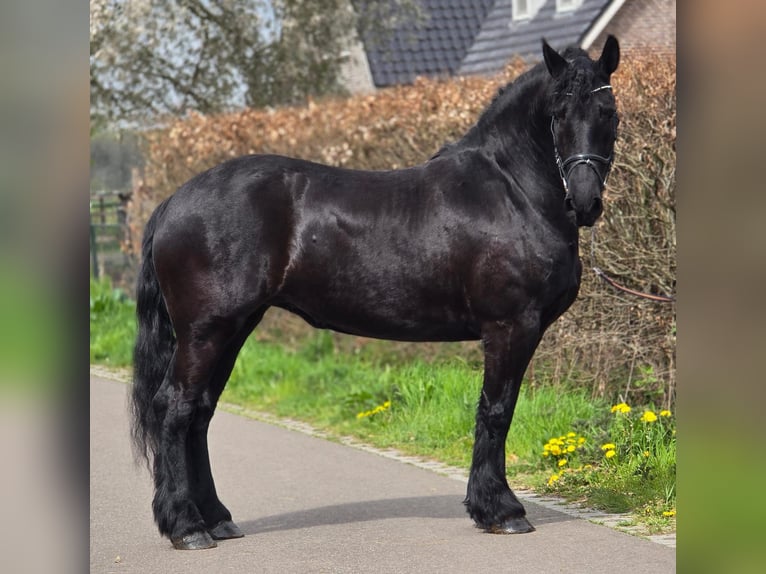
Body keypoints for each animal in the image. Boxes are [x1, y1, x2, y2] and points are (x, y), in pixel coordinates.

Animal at [130, 36, 620, 549]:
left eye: (608, 112)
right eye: (558, 113)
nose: (584, 200)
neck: (510, 190)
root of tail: (174, 201)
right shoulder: (511, 326)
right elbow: (497, 411)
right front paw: (500, 510)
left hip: (234, 328)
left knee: (200, 413)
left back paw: (216, 518)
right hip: (206, 332)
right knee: (175, 409)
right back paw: (187, 527)